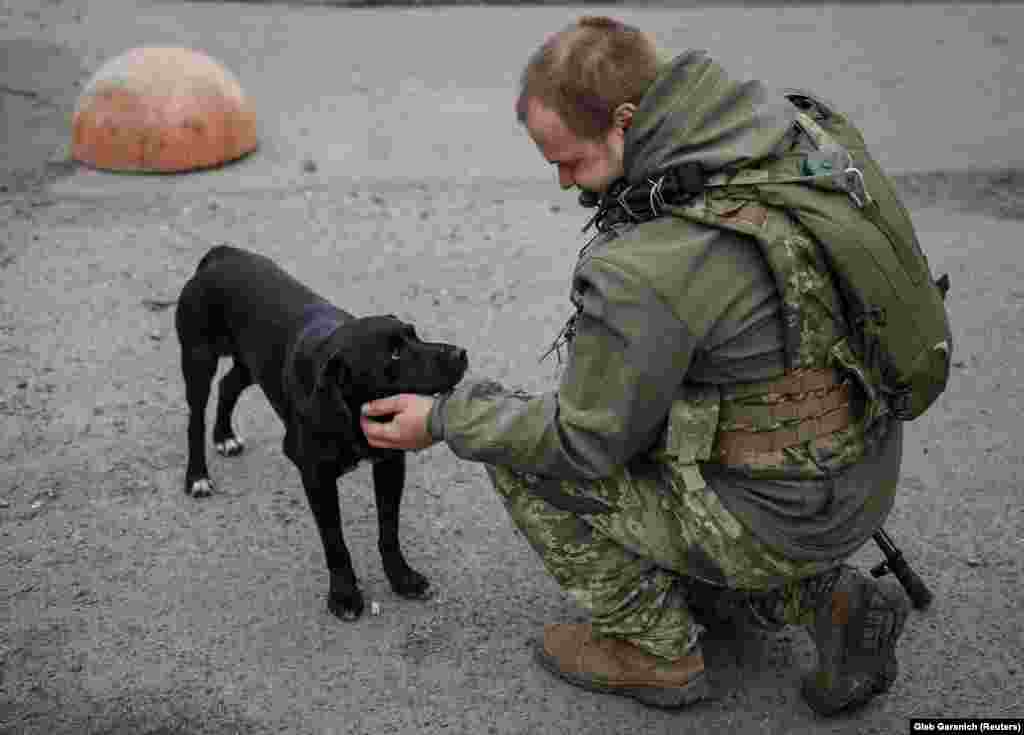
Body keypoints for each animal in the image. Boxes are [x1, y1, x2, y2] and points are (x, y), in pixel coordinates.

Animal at [175, 245, 468, 622]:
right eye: (394, 353)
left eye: (414, 333)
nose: (461, 354)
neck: (346, 404)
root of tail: (222, 254)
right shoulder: (316, 477)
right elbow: (335, 541)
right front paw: (344, 594)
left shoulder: (390, 463)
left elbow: (389, 528)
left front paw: (401, 577)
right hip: (198, 359)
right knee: (195, 418)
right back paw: (197, 475)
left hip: (251, 363)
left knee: (228, 385)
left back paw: (224, 434)